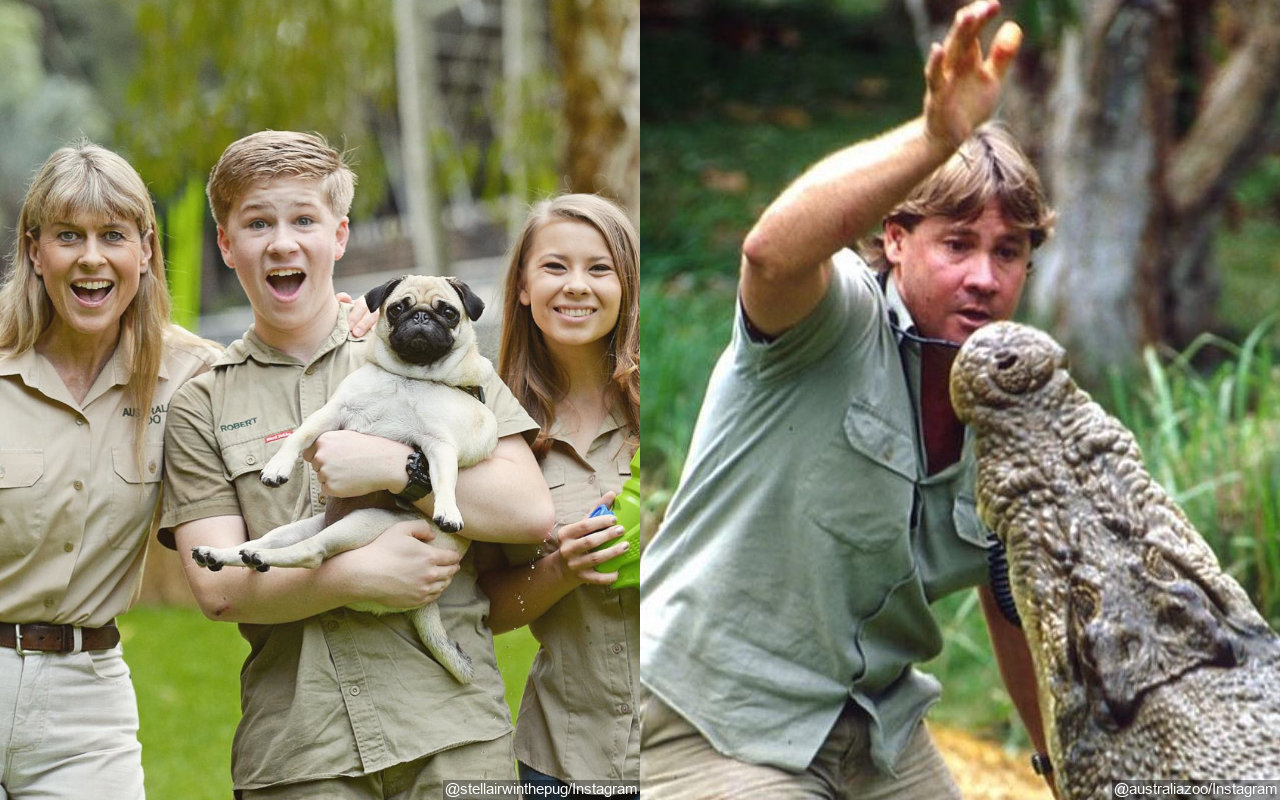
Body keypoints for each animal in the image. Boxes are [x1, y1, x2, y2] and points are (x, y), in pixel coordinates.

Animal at [189, 273, 499, 680]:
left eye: (448, 313)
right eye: (398, 308)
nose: (420, 317)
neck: (407, 378)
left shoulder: (440, 445)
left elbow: (445, 480)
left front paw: (448, 510)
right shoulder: (334, 411)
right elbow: (298, 435)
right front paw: (276, 467)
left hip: (362, 522)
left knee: (312, 554)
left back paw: (258, 556)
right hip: (301, 528)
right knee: (273, 545)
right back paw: (222, 554)